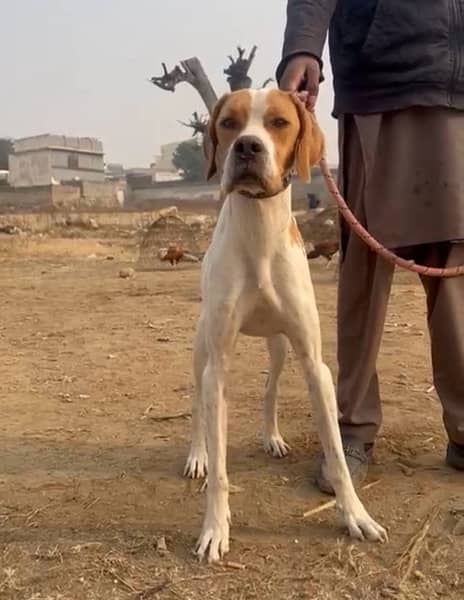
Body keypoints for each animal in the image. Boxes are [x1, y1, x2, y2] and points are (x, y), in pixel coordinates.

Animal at [183, 89, 386, 564]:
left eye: (278, 123)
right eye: (228, 123)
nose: (247, 147)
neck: (259, 235)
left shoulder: (315, 364)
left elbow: (337, 456)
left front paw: (356, 516)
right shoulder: (218, 364)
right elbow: (220, 470)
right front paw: (214, 528)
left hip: (278, 346)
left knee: (270, 388)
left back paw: (272, 436)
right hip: (202, 350)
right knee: (199, 404)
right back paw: (198, 453)